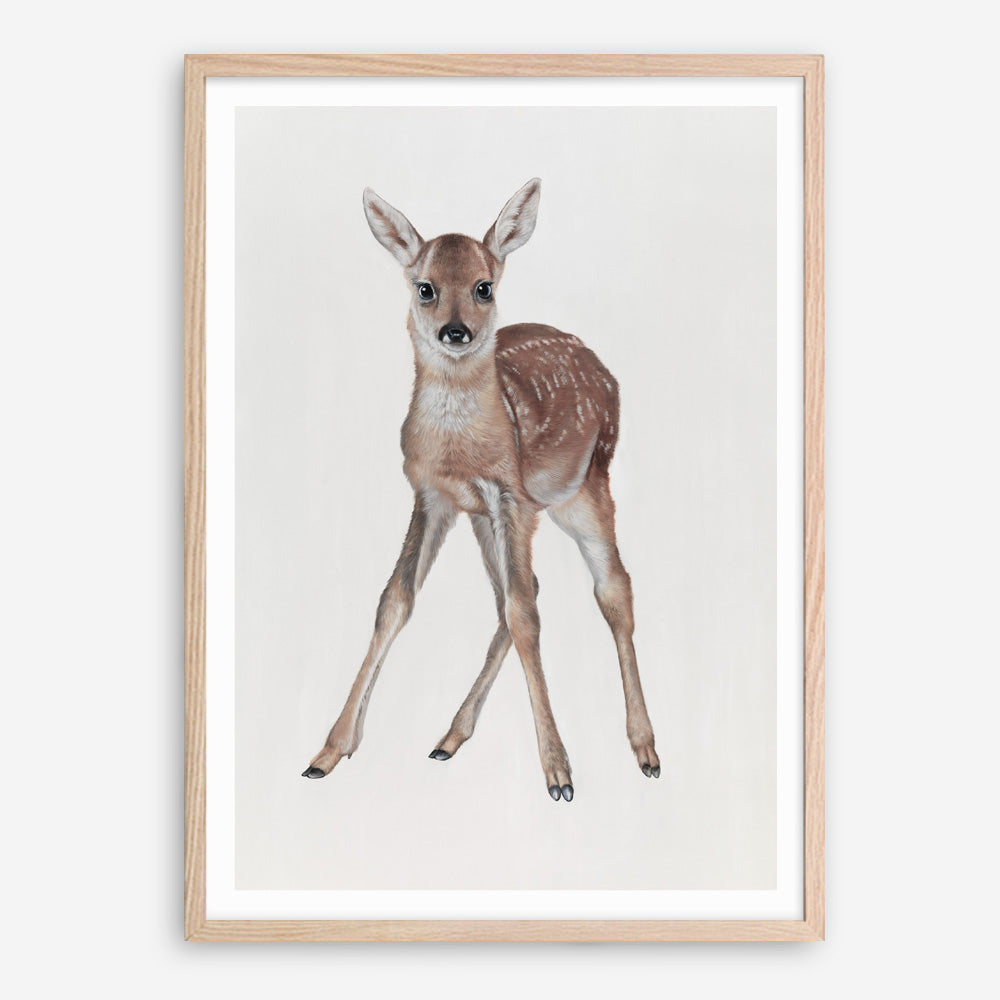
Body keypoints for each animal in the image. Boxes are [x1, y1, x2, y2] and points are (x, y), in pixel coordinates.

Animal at [302, 179, 659, 802]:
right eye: (425, 288)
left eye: (483, 287)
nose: (456, 331)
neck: (460, 447)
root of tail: (606, 371)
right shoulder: (434, 496)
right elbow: (396, 601)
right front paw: (329, 750)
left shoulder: (510, 495)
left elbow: (525, 616)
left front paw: (559, 773)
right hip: (489, 518)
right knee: (521, 592)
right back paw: (449, 738)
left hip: (585, 489)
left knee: (612, 589)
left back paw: (645, 749)